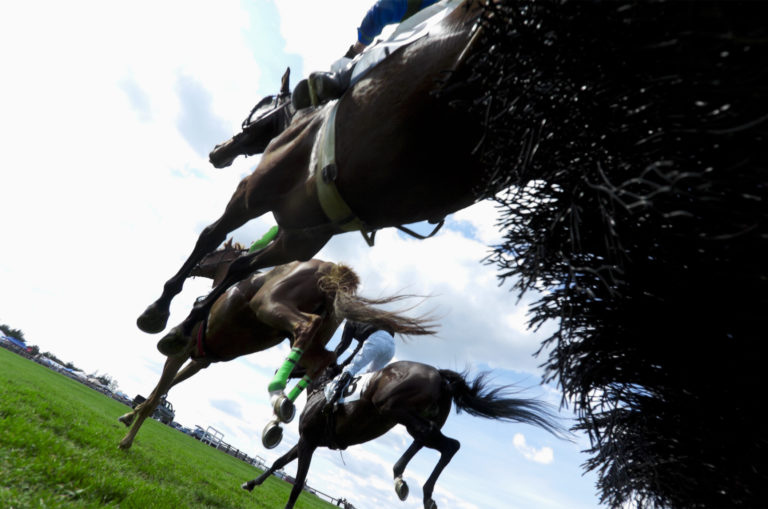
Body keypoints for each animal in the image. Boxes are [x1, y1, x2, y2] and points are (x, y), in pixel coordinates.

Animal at [118, 251, 432, 448]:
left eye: (212, 255)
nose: (197, 265)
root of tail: (332, 269)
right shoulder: (201, 361)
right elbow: (168, 387)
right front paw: (131, 414)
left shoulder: (183, 352)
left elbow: (160, 388)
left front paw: (128, 436)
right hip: (313, 334)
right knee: (324, 359)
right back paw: (280, 410)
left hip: (270, 306)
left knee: (307, 328)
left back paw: (278, 391)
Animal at [136, 0, 486, 336]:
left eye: (257, 109)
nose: (218, 151)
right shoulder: (298, 238)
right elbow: (241, 266)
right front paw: (189, 322)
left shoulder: (251, 193)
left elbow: (211, 235)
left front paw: (160, 308)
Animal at [243, 360, 568, 508]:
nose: (280, 369)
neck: (323, 391)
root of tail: (439, 374)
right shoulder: (308, 442)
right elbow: (278, 463)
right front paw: (250, 484)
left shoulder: (309, 441)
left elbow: (298, 483)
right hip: (412, 419)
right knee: (450, 445)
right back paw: (424, 493)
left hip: (394, 408)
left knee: (426, 435)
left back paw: (400, 475)